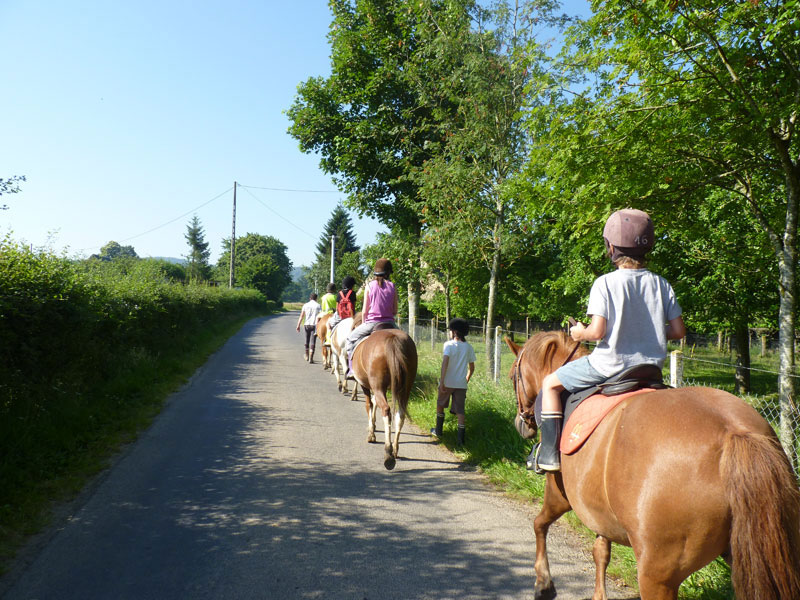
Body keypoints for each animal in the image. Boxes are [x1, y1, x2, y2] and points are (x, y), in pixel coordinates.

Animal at [354, 328, 422, 468]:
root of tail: (393, 338)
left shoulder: (365, 386)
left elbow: (369, 405)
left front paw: (371, 434)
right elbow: (373, 403)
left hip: (378, 386)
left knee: (386, 411)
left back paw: (388, 453)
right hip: (406, 388)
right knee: (400, 414)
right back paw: (395, 449)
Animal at [506, 330, 800, 600]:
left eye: (512, 376)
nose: (521, 424)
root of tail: (736, 433)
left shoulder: (560, 494)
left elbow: (539, 524)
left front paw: (543, 583)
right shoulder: (598, 510)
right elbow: (601, 552)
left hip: (657, 573)